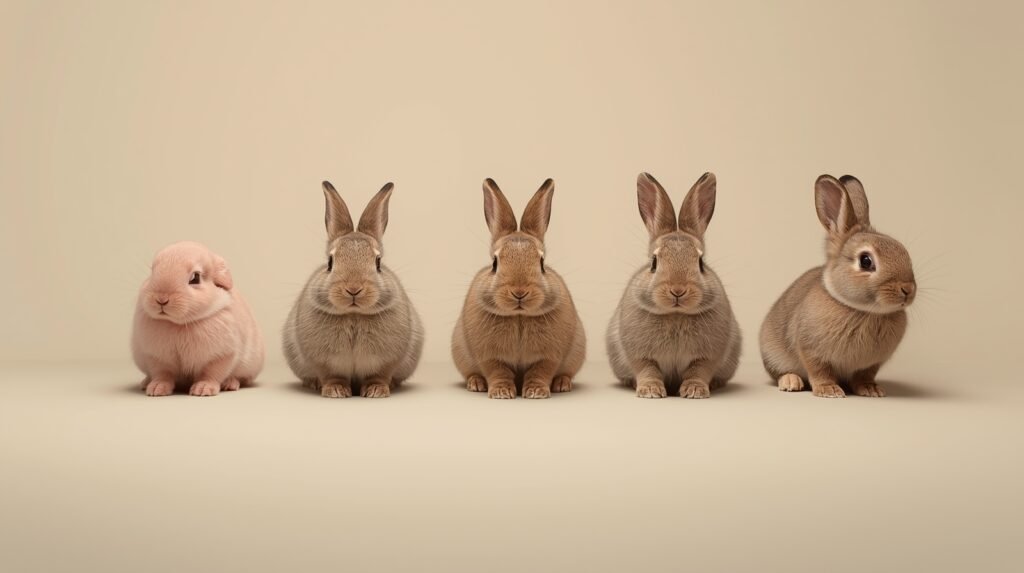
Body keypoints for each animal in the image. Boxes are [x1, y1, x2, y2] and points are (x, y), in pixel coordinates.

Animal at [132, 241, 265, 397]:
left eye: (195, 278)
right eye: (153, 272)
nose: (161, 299)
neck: (179, 325)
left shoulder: (221, 356)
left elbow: (211, 374)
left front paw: (203, 390)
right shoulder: (157, 357)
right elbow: (162, 374)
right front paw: (156, 389)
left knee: (241, 378)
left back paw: (230, 384)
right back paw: (145, 383)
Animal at [283, 181, 424, 398]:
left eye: (378, 262)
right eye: (330, 262)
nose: (353, 289)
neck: (354, 314)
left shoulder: (386, 362)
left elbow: (379, 375)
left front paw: (376, 391)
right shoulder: (325, 363)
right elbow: (332, 376)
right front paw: (335, 391)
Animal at [451, 178, 586, 399]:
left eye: (542, 263)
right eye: (495, 263)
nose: (519, 292)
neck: (519, 316)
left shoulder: (549, 356)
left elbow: (540, 371)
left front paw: (536, 392)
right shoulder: (490, 356)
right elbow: (498, 371)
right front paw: (501, 393)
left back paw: (562, 384)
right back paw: (476, 383)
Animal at [606, 172, 741, 399]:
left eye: (701, 263)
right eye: (654, 262)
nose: (678, 290)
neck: (676, 315)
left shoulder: (707, 357)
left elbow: (698, 371)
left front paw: (695, 391)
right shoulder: (640, 355)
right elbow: (647, 370)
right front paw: (650, 391)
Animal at [759, 175, 917, 398]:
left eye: (903, 250)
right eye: (866, 261)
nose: (908, 290)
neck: (865, 311)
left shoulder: (872, 364)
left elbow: (864, 375)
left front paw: (871, 389)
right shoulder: (811, 351)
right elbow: (819, 371)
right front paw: (829, 390)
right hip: (772, 354)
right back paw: (791, 382)